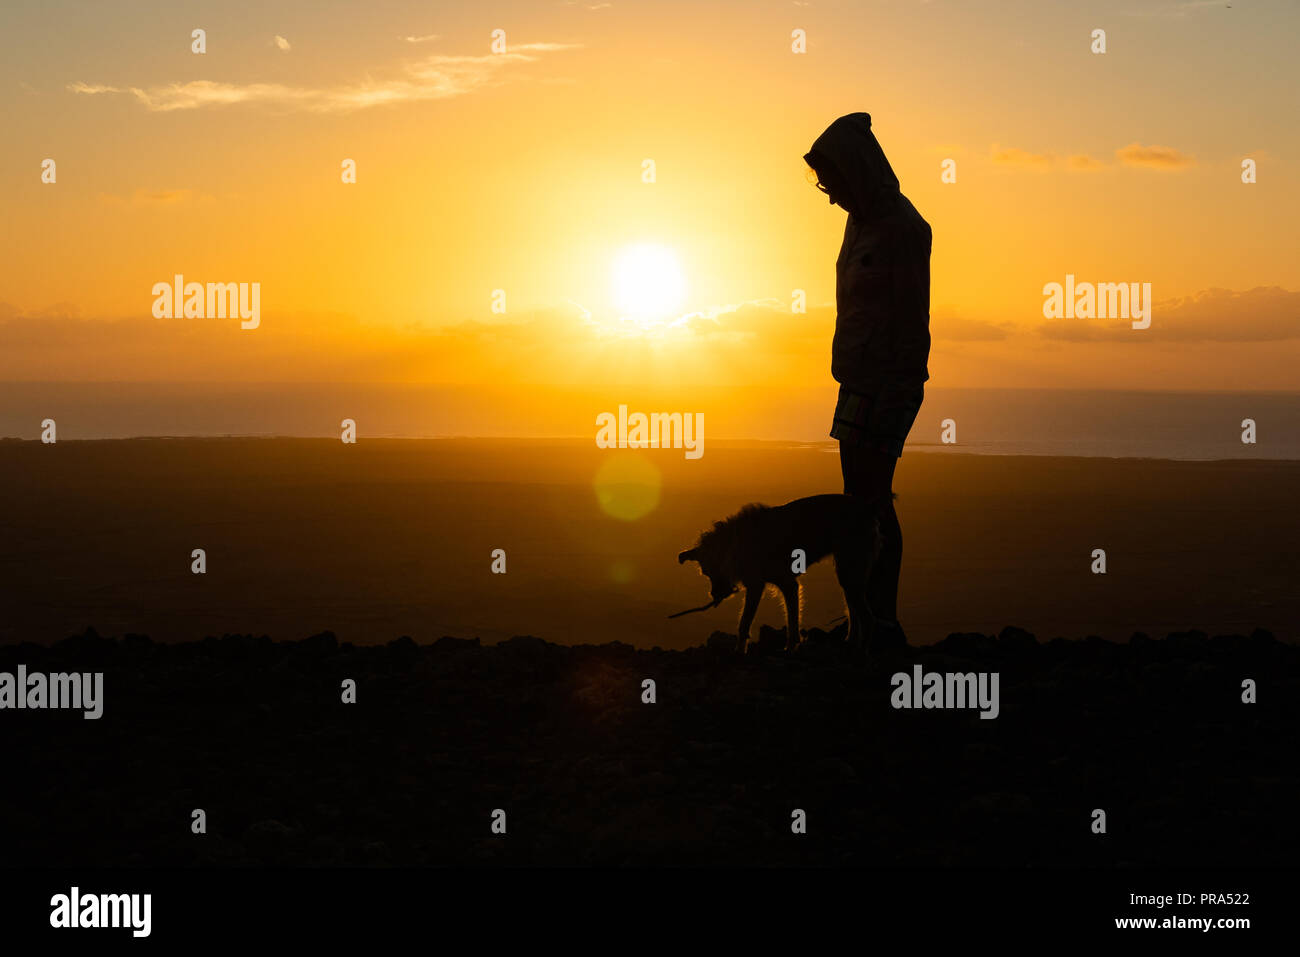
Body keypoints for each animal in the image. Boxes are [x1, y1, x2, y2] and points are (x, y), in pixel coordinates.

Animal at [676, 494, 889, 657]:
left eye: (709, 571)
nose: (714, 595)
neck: (735, 543)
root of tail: (866, 508)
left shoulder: (778, 585)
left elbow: (755, 622)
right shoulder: (764, 585)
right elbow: (762, 621)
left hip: (850, 570)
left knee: (868, 618)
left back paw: (861, 651)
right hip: (848, 573)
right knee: (854, 610)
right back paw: (850, 641)